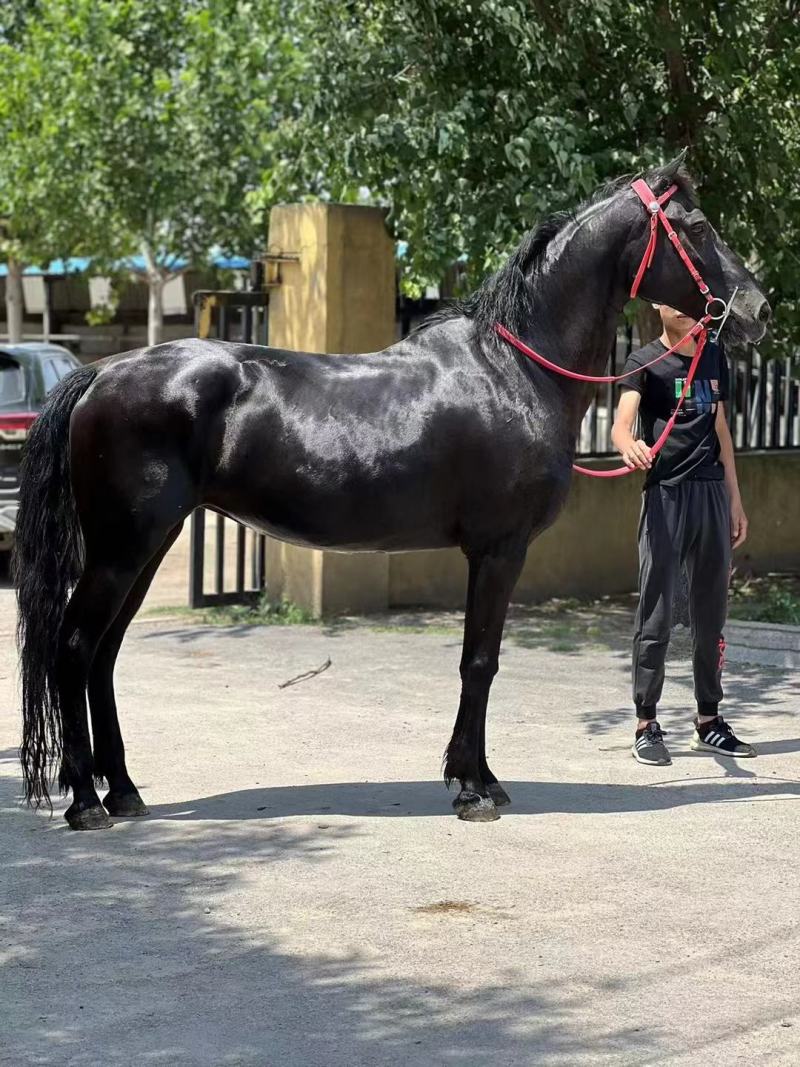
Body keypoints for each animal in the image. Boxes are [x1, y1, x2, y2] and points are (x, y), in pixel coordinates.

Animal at [14, 157, 770, 830]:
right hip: (122, 549)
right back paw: (85, 802)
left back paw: (123, 791)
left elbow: (479, 662)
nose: (757, 310)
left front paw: (481, 777)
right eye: (697, 226)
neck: (515, 367)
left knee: (104, 654)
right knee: (76, 647)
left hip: (146, 547)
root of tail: (101, 374)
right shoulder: (498, 550)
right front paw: (472, 788)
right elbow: (479, 662)